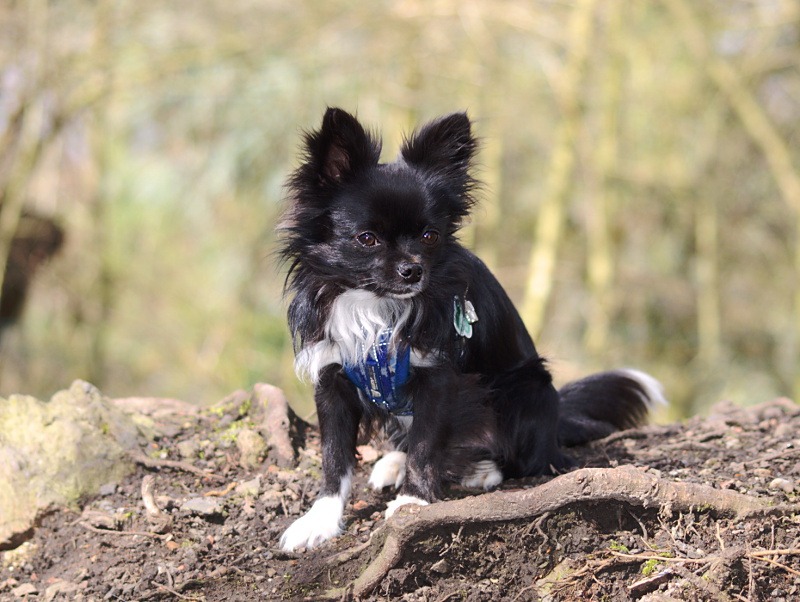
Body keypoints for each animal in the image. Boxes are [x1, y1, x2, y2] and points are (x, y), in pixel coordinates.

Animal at [278, 106, 664, 548]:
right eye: (367, 238)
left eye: (430, 236)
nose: (413, 270)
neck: (377, 306)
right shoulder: (333, 379)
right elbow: (334, 457)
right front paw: (320, 520)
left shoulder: (437, 378)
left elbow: (426, 445)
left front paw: (413, 502)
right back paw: (394, 462)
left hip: (524, 389)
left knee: (524, 459)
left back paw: (481, 469)